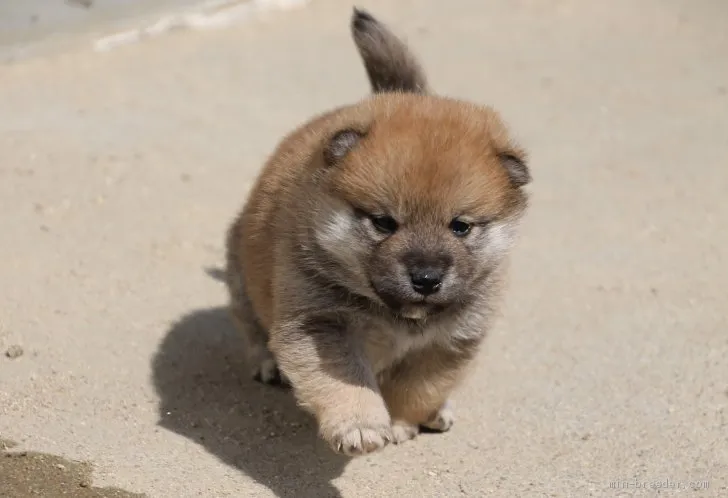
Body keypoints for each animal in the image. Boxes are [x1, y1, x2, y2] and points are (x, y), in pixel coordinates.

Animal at [225, 7, 532, 458]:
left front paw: (404, 420)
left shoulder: (451, 341)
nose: (426, 278)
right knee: (250, 324)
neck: (398, 316)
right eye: (384, 223)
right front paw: (360, 426)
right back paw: (266, 362)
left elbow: (414, 388)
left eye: (460, 227)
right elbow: (347, 381)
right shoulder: (322, 324)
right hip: (242, 275)